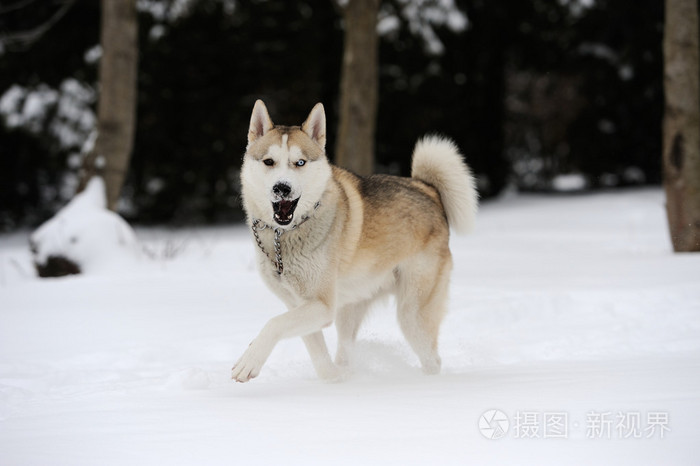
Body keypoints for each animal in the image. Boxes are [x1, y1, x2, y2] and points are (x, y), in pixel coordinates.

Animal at [232, 100, 478, 380]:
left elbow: (273, 324)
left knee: (432, 361)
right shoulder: (297, 304)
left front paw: (248, 362)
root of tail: (428, 190)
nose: (281, 188)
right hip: (350, 310)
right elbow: (318, 357)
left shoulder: (322, 306)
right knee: (346, 350)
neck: (283, 237)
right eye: (269, 161)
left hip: (411, 314)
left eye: (300, 162)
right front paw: (333, 380)